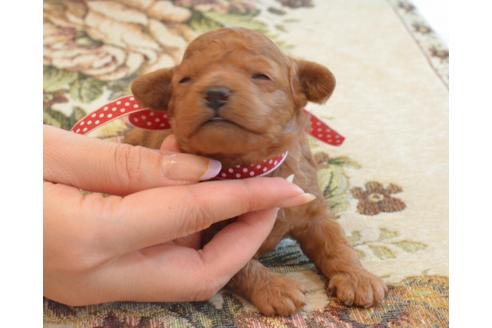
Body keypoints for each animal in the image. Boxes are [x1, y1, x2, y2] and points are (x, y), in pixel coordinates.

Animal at [125, 28, 386, 318]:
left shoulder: (312, 209)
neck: (250, 168)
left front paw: (357, 277)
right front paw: (275, 288)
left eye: (261, 76)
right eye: (185, 80)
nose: (215, 93)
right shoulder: (210, 234)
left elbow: (336, 242)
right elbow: (242, 265)